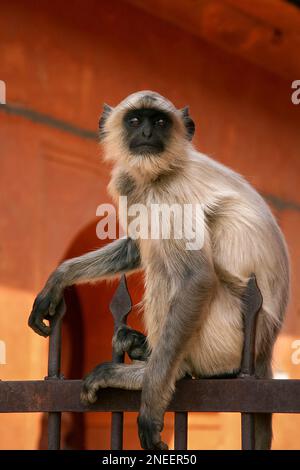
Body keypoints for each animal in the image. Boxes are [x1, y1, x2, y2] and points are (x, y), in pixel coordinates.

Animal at [28, 90, 288, 450]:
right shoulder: (131, 182)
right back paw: (141, 346)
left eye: (161, 122)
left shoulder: (172, 192)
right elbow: (136, 246)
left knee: (168, 268)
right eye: (136, 120)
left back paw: (153, 372)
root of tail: (264, 348)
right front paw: (60, 277)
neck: (162, 170)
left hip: (227, 338)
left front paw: (150, 405)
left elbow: (196, 277)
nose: (148, 133)